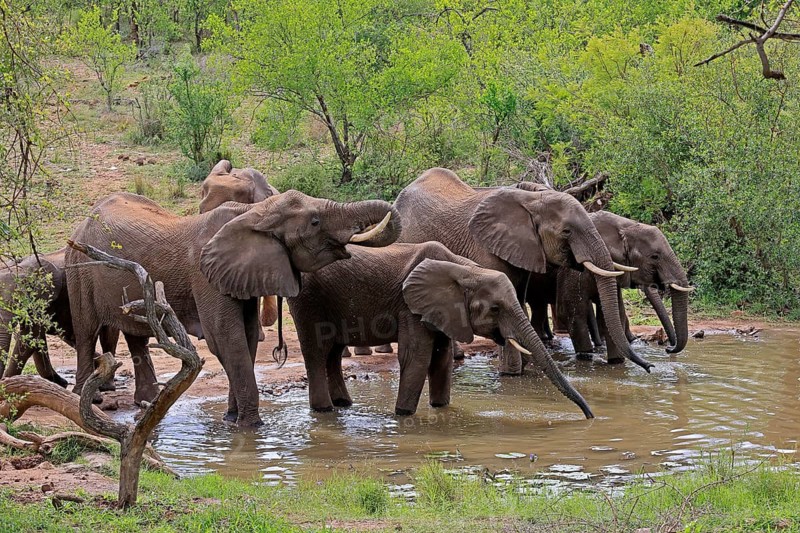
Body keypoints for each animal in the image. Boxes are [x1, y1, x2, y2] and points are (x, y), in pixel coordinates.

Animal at [0, 248, 119, 389]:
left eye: (18, 302)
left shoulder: (45, 298)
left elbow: (31, 335)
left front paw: (7, 382)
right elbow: (35, 336)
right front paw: (60, 382)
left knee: (108, 336)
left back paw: (106, 384)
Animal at [66, 190, 400, 426]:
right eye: (315, 221)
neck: (253, 213)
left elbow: (247, 336)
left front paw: (231, 417)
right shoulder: (205, 276)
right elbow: (226, 338)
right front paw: (251, 425)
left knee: (137, 334)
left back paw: (147, 401)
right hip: (78, 268)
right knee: (86, 332)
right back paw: (90, 398)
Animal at [287, 241, 593, 418]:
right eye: (495, 309)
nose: (590, 416)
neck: (466, 270)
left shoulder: (442, 310)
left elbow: (442, 357)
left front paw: (441, 409)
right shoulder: (410, 306)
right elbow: (418, 357)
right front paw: (403, 415)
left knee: (332, 353)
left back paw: (343, 405)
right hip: (308, 300)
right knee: (316, 352)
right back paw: (324, 410)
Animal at [394, 168, 653, 375]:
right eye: (567, 231)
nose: (650, 367)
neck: (532, 198)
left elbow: (516, 299)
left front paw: (521, 368)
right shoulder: (486, 248)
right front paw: (511, 374)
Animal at [554, 211, 692, 361]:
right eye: (655, 256)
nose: (668, 348)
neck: (624, 226)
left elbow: (615, 314)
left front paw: (617, 360)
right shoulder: (574, 268)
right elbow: (574, 313)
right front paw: (586, 356)